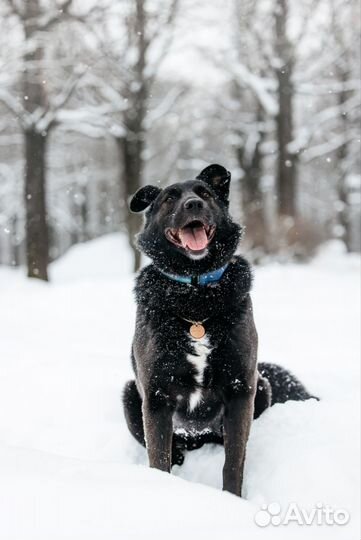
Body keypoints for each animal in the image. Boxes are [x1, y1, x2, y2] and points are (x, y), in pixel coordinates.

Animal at [122, 162, 314, 496]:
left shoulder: (240, 389)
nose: (193, 204)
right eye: (169, 198)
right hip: (130, 395)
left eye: (205, 193)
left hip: (261, 386)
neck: (196, 292)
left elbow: (234, 460)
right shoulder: (156, 396)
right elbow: (159, 458)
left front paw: (232, 498)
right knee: (172, 450)